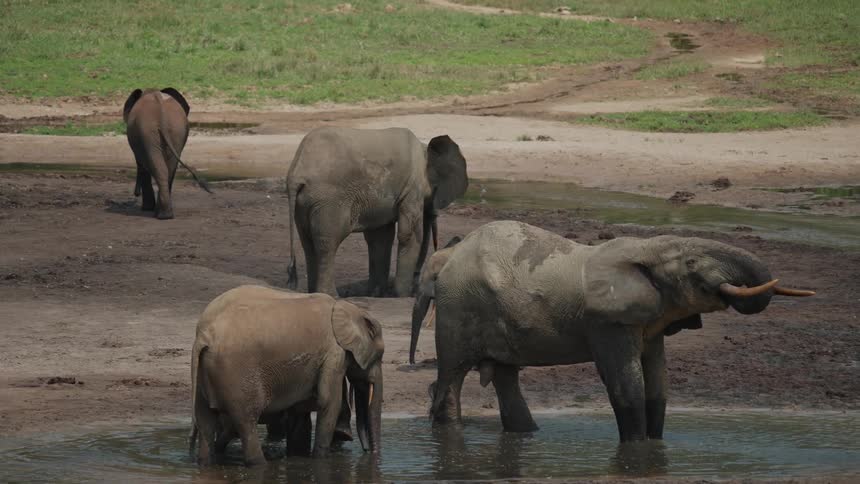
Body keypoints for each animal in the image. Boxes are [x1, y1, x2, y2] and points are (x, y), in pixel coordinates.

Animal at [123, 88, 210, 219]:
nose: (136, 194)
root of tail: (162, 117)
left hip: (147, 132)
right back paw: (165, 214)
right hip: (175, 130)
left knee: (157, 166)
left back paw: (160, 214)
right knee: (168, 168)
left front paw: (146, 209)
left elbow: (141, 165)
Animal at [190, 285, 384, 466]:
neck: (346, 308)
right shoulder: (334, 353)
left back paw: (205, 462)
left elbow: (300, 412)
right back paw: (260, 464)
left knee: (205, 420)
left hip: (203, 377)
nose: (369, 453)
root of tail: (203, 336)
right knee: (245, 422)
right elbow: (328, 402)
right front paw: (320, 460)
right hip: (235, 374)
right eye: (380, 355)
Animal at [285, 127, 468, 298]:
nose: (414, 290)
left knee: (308, 243)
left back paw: (314, 293)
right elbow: (408, 234)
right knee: (328, 243)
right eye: (436, 188)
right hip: (327, 201)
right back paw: (330, 295)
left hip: (305, 202)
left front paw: (377, 294)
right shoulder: (412, 188)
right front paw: (401, 295)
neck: (425, 150)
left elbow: (380, 238)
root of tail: (296, 173)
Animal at [426, 221, 814, 442]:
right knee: (451, 379)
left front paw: (655, 446)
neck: (647, 248)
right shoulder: (607, 320)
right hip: (457, 309)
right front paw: (636, 449)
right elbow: (627, 386)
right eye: (691, 264)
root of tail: (450, 257)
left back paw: (526, 434)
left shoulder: (653, 318)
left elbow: (658, 386)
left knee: (507, 379)